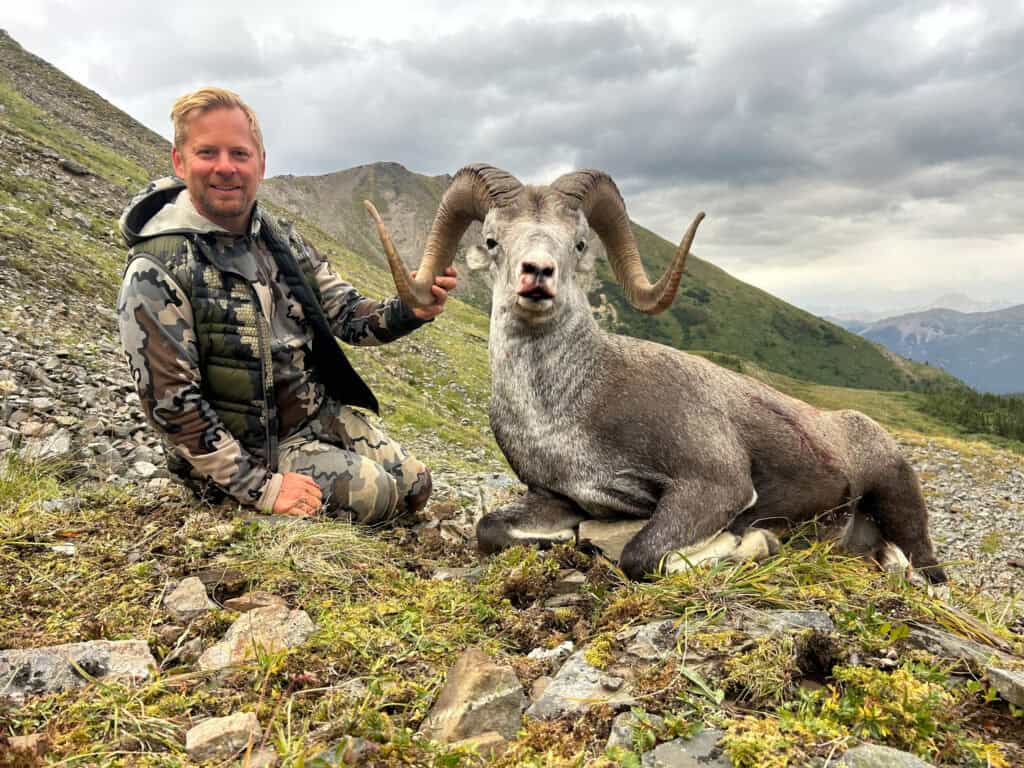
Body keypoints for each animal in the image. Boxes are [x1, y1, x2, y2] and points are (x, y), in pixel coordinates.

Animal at [363, 164, 947, 583]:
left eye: (578, 243)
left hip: (901, 504)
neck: (564, 409)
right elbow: (490, 530)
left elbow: (643, 556)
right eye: (492, 240)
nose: (537, 274)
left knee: (927, 571)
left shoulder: (714, 485)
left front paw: (751, 543)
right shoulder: (556, 497)